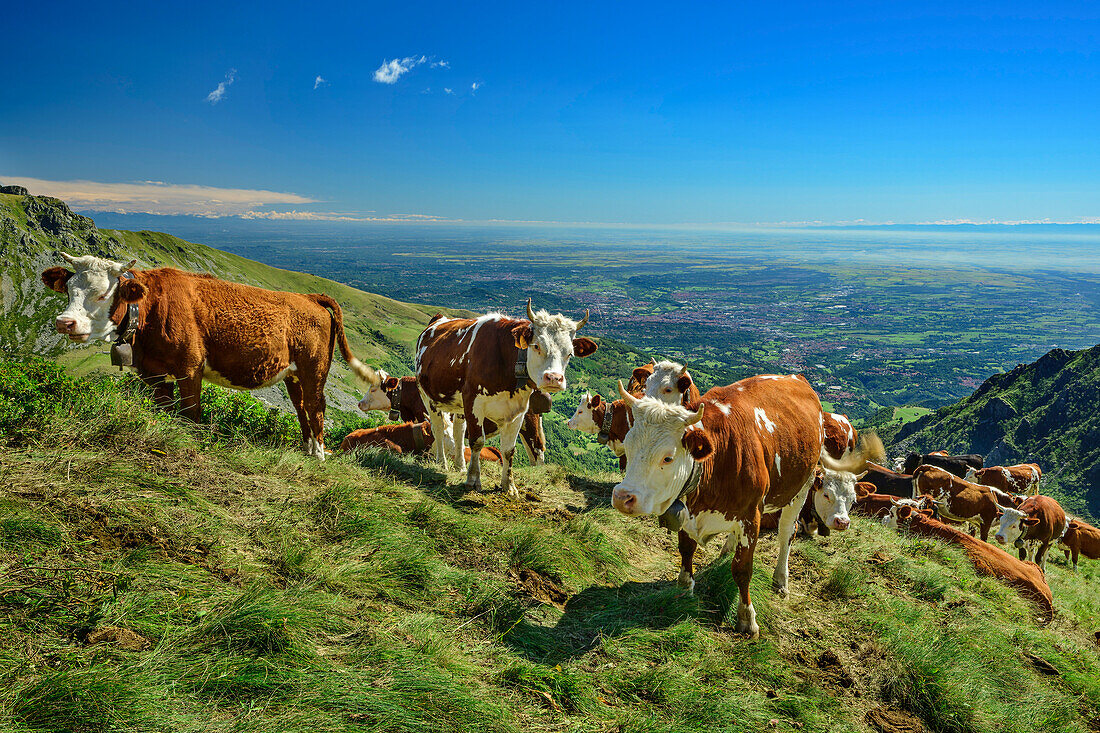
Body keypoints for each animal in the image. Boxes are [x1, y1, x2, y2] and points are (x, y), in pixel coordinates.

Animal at [40, 250, 378, 457]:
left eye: (102, 294)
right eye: (68, 290)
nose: (64, 322)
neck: (150, 309)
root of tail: (309, 297)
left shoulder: (190, 367)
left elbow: (190, 414)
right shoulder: (154, 372)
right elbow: (164, 410)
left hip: (314, 369)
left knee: (317, 407)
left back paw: (319, 454)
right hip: (293, 374)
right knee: (301, 407)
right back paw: (306, 450)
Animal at [413, 299, 602, 493]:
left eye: (570, 353)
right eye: (537, 346)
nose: (554, 378)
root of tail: (439, 318)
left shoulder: (519, 412)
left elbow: (509, 450)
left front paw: (509, 486)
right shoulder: (474, 402)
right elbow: (477, 441)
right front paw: (473, 480)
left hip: (460, 405)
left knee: (459, 430)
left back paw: (460, 466)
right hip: (427, 395)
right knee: (438, 428)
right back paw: (442, 463)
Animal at [607, 374, 880, 638]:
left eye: (667, 457)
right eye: (629, 446)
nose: (622, 496)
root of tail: (797, 378)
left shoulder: (751, 517)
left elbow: (742, 569)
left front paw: (747, 618)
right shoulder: (687, 509)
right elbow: (686, 550)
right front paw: (684, 589)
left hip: (803, 485)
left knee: (786, 533)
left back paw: (781, 580)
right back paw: (726, 549)